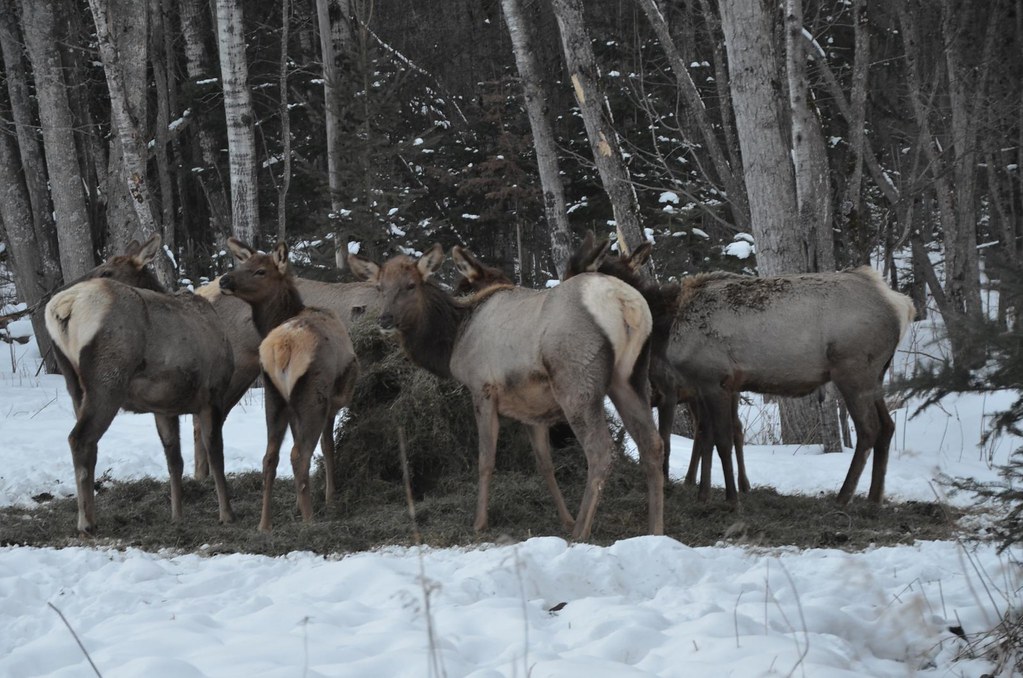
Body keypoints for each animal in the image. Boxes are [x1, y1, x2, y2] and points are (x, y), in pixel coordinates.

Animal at [43, 234, 236, 534]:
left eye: (107, 270)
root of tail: (65, 307)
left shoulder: (164, 407)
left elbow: (174, 460)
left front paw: (177, 516)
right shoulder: (213, 394)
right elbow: (216, 454)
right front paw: (226, 514)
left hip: (74, 385)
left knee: (86, 443)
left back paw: (89, 516)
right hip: (107, 381)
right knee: (79, 438)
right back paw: (86, 522)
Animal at [218, 238, 360, 532]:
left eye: (259, 270)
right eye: (244, 265)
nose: (224, 279)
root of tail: (283, 347)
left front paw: (296, 503)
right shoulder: (331, 404)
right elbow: (328, 447)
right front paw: (330, 498)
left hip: (274, 398)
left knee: (270, 457)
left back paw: (264, 524)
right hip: (313, 396)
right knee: (299, 454)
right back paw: (310, 522)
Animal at [348, 244, 664, 541]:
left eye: (411, 285)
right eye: (380, 287)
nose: (385, 319)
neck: (454, 339)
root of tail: (626, 304)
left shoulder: (482, 388)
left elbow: (486, 460)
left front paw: (479, 523)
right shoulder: (532, 409)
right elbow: (545, 465)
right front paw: (566, 518)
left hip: (577, 381)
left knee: (600, 451)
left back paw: (581, 532)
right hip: (631, 377)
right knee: (653, 443)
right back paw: (654, 530)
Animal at [564, 233, 750, 496]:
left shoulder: (669, 393)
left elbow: (666, 442)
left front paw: (665, 483)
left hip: (727, 388)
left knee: (735, 428)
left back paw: (742, 485)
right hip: (695, 395)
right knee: (703, 431)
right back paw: (695, 483)